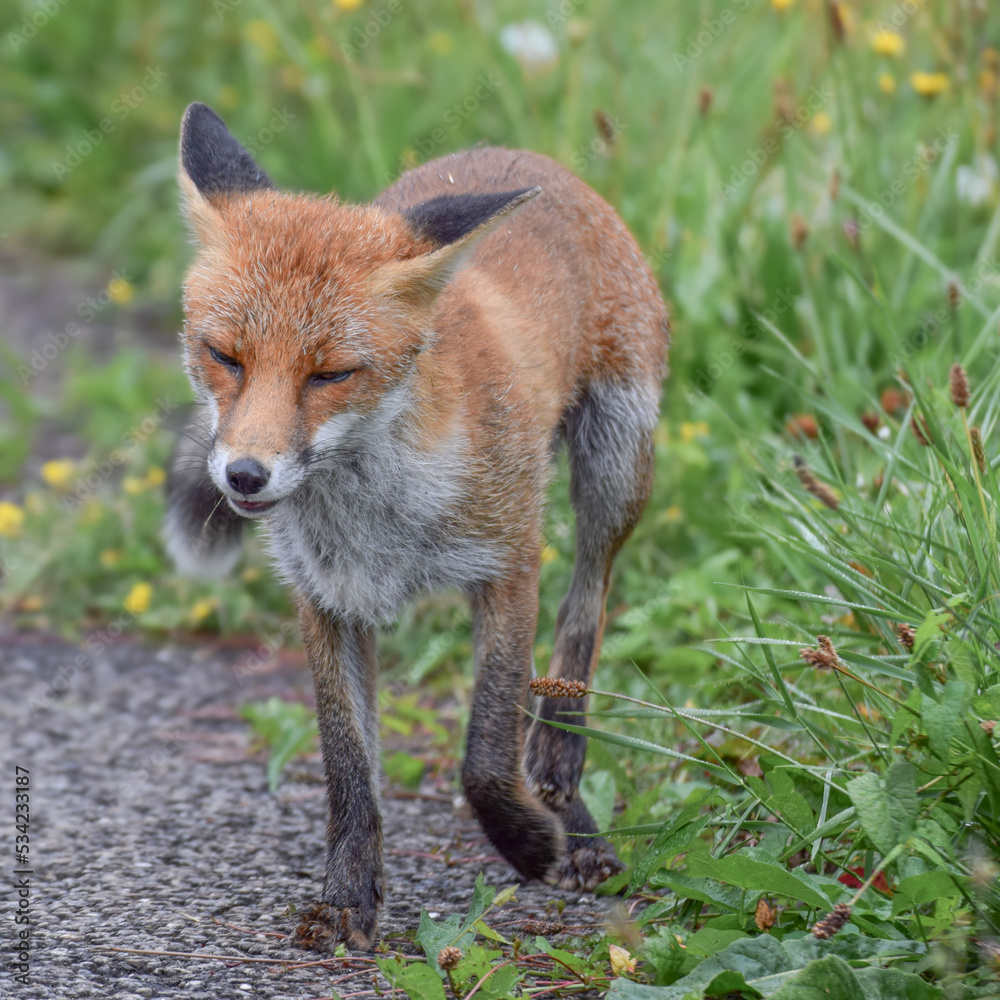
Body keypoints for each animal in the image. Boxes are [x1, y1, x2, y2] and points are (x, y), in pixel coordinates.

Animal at [165, 102, 669, 950]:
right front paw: (348, 896)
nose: (244, 476)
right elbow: (348, 770)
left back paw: (564, 773)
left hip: (615, 462)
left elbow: (487, 754)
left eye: (330, 374)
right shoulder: (326, 598)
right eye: (225, 356)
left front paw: (528, 844)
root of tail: (520, 155)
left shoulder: (509, 564)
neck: (378, 509)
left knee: (587, 606)